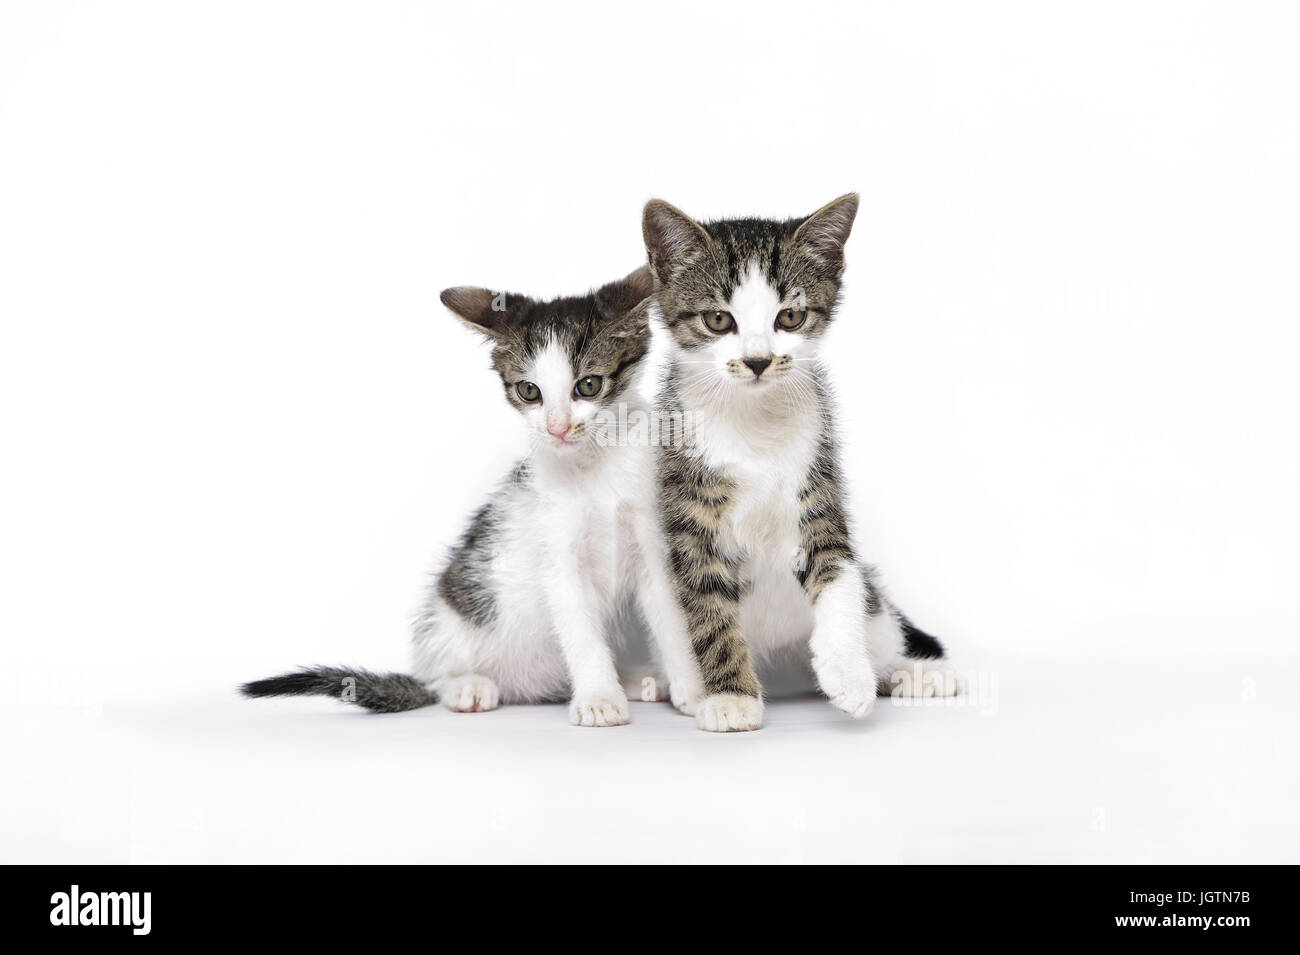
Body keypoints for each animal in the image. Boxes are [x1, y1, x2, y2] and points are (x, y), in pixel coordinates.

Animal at [243, 265, 681, 727]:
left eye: (590, 385)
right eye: (529, 391)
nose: (557, 427)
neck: (594, 464)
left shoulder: (654, 539)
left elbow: (672, 620)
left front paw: (692, 693)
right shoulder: (558, 556)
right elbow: (580, 631)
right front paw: (598, 698)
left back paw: (636, 679)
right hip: (449, 616)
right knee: (438, 677)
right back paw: (467, 686)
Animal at [637, 194, 956, 732]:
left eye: (789, 317)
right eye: (718, 320)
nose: (758, 360)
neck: (755, 422)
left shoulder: (819, 479)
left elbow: (837, 573)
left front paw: (849, 673)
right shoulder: (688, 505)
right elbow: (708, 605)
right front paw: (731, 697)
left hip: (875, 615)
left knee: (879, 621)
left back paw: (912, 672)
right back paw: (671, 685)